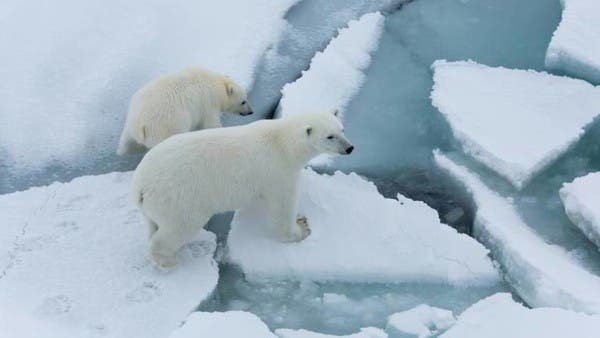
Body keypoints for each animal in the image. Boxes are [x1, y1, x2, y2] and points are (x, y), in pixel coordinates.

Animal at [116, 67, 252, 154]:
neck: (217, 84)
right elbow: (211, 124)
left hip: (129, 127)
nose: (251, 112)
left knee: (126, 144)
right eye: (243, 101)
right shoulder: (208, 103)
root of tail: (141, 126)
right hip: (167, 126)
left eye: (246, 99)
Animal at [132, 111, 352, 270]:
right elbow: (283, 206)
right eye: (330, 136)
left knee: (153, 224)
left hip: (155, 205)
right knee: (180, 227)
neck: (283, 142)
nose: (350, 148)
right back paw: (169, 261)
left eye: (342, 129)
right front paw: (301, 228)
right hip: (179, 197)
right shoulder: (279, 172)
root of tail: (140, 185)